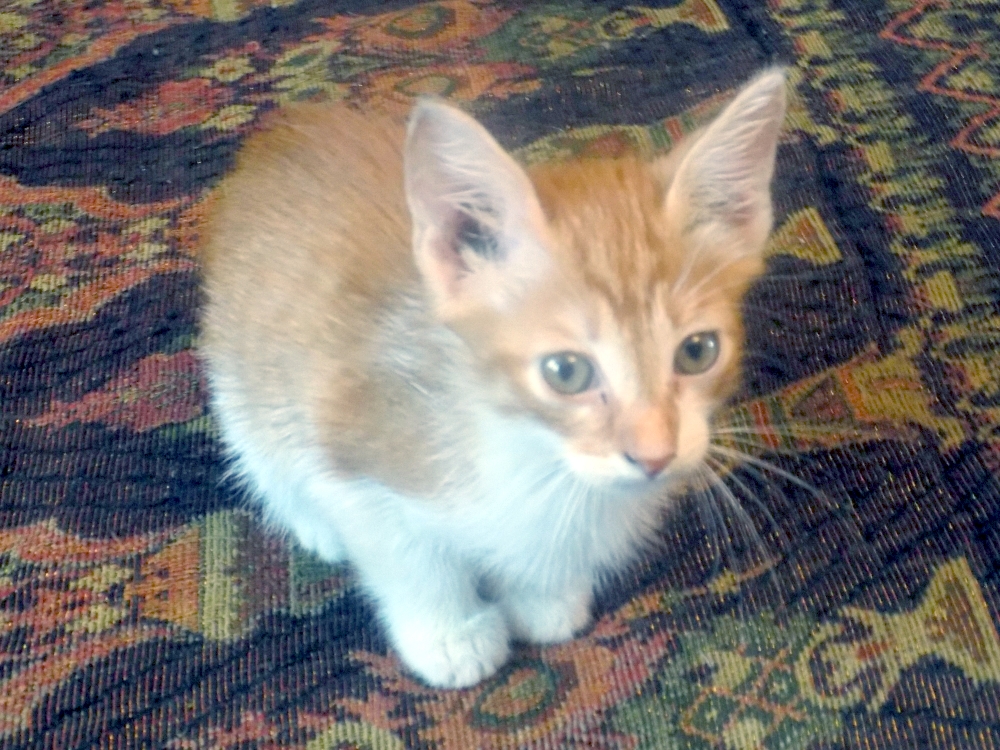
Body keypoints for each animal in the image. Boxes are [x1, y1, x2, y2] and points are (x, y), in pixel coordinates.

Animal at [199, 68, 787, 688]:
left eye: (698, 351)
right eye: (566, 371)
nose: (655, 456)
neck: (535, 457)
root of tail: (287, 126)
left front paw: (545, 599)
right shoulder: (359, 437)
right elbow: (410, 561)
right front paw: (449, 635)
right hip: (240, 363)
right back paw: (310, 521)